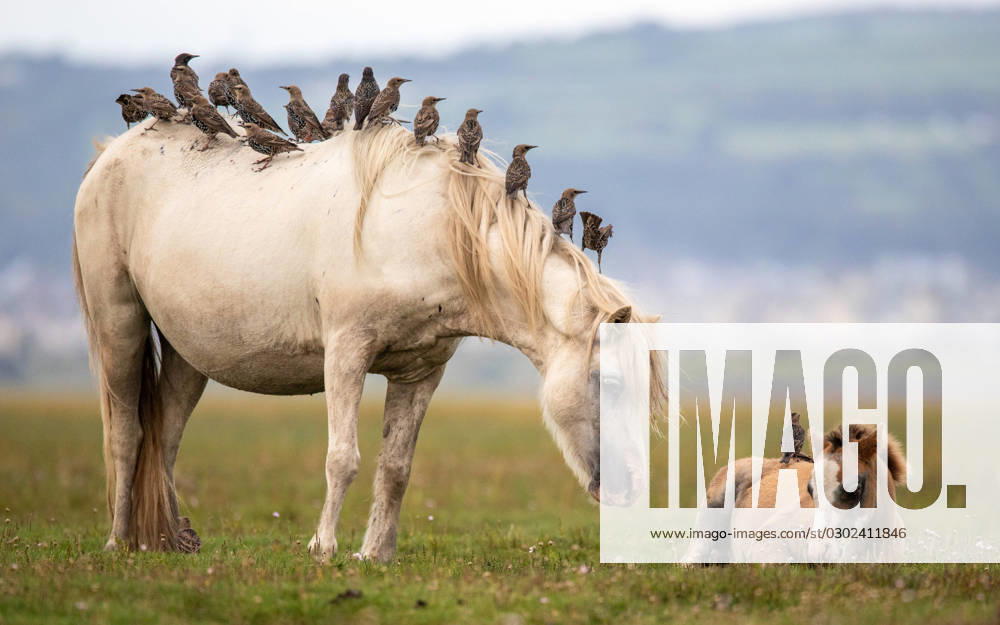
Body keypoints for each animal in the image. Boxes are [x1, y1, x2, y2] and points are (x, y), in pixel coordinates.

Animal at [72, 115, 667, 561]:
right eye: (610, 381)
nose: (629, 486)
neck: (433, 229)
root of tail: (109, 154)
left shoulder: (421, 372)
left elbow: (395, 467)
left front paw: (375, 554)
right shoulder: (346, 355)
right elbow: (343, 458)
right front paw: (324, 548)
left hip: (186, 354)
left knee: (167, 437)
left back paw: (169, 541)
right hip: (119, 325)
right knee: (126, 434)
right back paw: (119, 542)